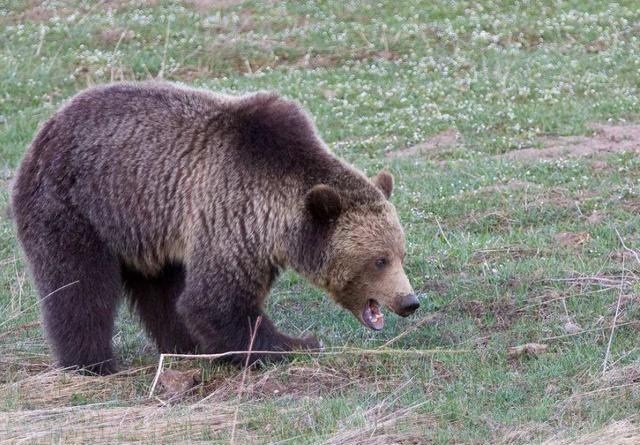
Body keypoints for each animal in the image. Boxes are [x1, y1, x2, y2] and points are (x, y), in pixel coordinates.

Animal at [12, 81, 420, 372]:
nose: (409, 301)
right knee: (79, 286)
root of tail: (45, 129)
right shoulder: (233, 215)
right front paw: (296, 343)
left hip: (144, 227)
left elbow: (196, 302)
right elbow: (214, 302)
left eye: (400, 253)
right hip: (74, 207)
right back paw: (91, 363)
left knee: (160, 290)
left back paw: (184, 347)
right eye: (379, 260)